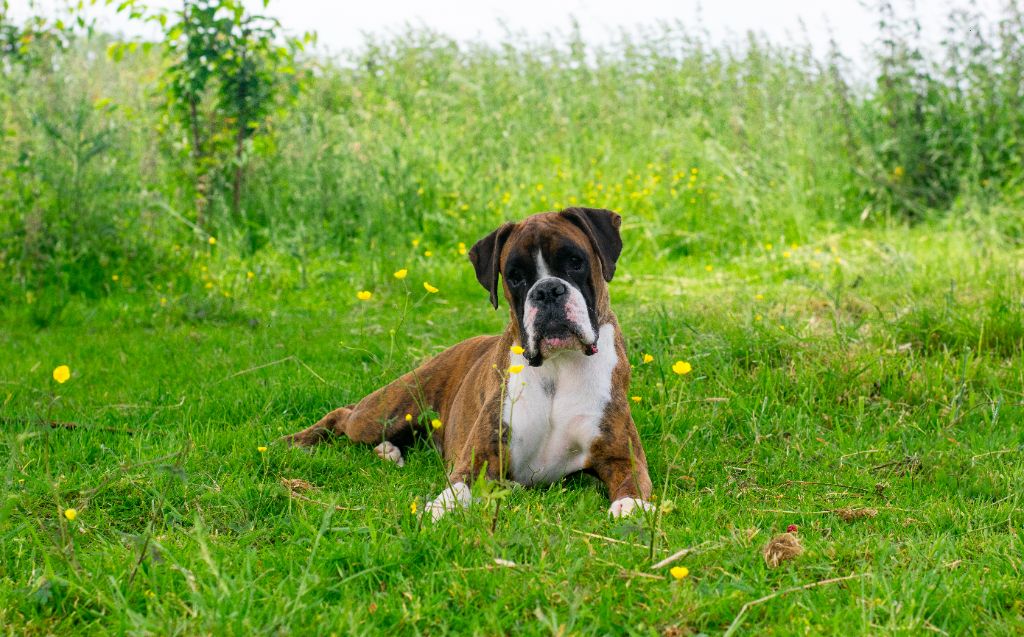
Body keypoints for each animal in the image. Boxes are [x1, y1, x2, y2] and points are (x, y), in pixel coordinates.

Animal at [282, 206, 647, 522]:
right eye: (514, 277)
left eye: (575, 261)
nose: (546, 291)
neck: (557, 369)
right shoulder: (481, 457)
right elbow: (457, 487)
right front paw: (436, 511)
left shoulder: (620, 455)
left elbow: (633, 482)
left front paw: (630, 507)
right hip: (385, 412)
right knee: (343, 415)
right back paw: (295, 443)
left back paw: (389, 451)